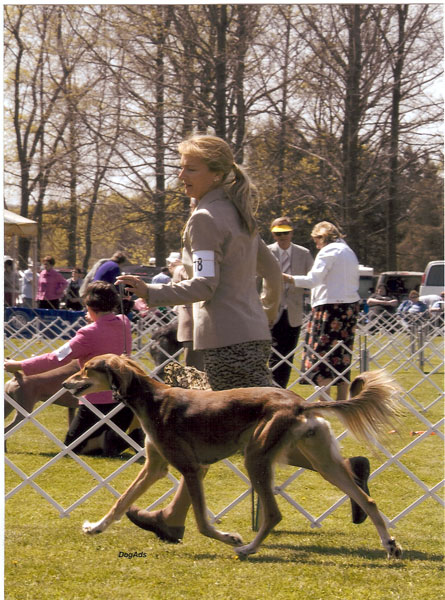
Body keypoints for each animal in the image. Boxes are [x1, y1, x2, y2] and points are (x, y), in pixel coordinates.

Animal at [63, 354, 402, 560]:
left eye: (86, 368)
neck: (152, 399)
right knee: (366, 498)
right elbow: (121, 501)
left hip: (257, 457)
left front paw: (229, 538)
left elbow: (202, 522)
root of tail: (300, 403)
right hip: (317, 459)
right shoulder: (155, 466)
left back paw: (248, 548)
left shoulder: (190, 467)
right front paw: (96, 528)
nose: (66, 383)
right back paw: (389, 544)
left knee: (274, 514)